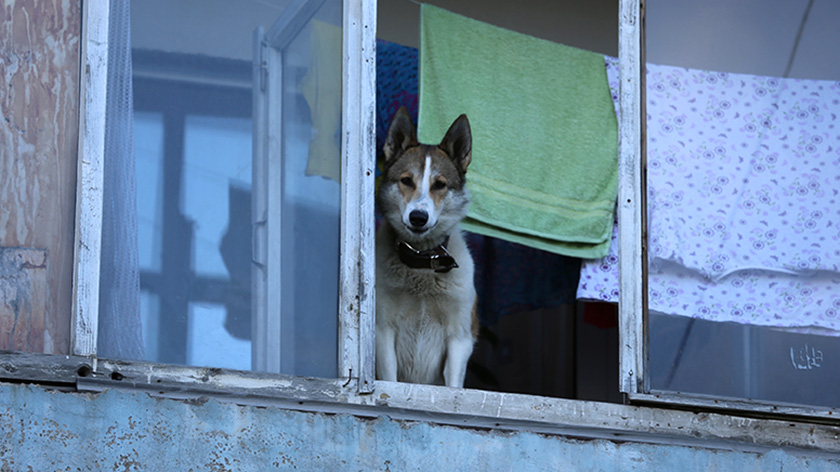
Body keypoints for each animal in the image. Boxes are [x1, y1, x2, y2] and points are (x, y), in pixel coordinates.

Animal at [376, 107, 480, 388]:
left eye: (440, 184)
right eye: (406, 181)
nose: (418, 218)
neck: (421, 261)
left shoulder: (460, 337)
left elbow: (453, 386)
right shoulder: (383, 330)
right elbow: (389, 378)